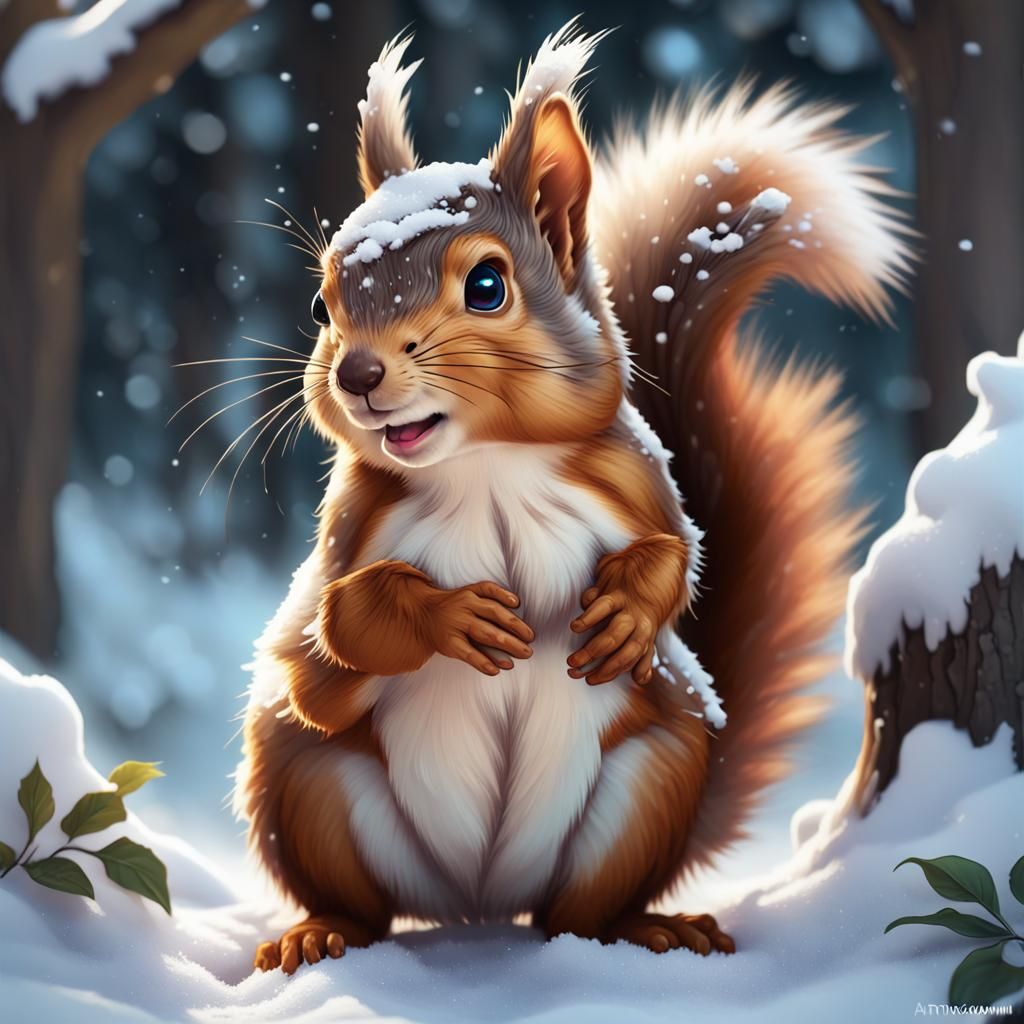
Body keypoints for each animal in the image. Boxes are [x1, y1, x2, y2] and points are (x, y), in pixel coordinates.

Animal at [235, 22, 912, 974]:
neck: (486, 467)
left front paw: (628, 611)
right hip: (306, 784)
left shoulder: (631, 475)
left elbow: (678, 551)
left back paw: (649, 929)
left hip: (649, 783)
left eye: (488, 286)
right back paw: (321, 930)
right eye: (324, 300)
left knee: (579, 915)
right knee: (360, 891)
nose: (357, 375)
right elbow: (320, 650)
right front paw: (447, 617)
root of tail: (477, 907)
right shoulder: (348, 532)